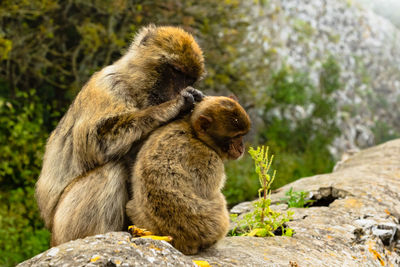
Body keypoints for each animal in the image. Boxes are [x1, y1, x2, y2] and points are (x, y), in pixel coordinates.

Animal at [35, 25, 206, 247]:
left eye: (189, 78)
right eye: (176, 71)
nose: (179, 90)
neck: (136, 88)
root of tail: (53, 238)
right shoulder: (107, 86)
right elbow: (95, 140)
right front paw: (173, 106)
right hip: (65, 227)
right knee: (110, 170)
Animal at [126, 96, 250, 255]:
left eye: (242, 136)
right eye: (236, 136)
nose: (241, 147)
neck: (193, 131)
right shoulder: (210, 160)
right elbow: (209, 194)